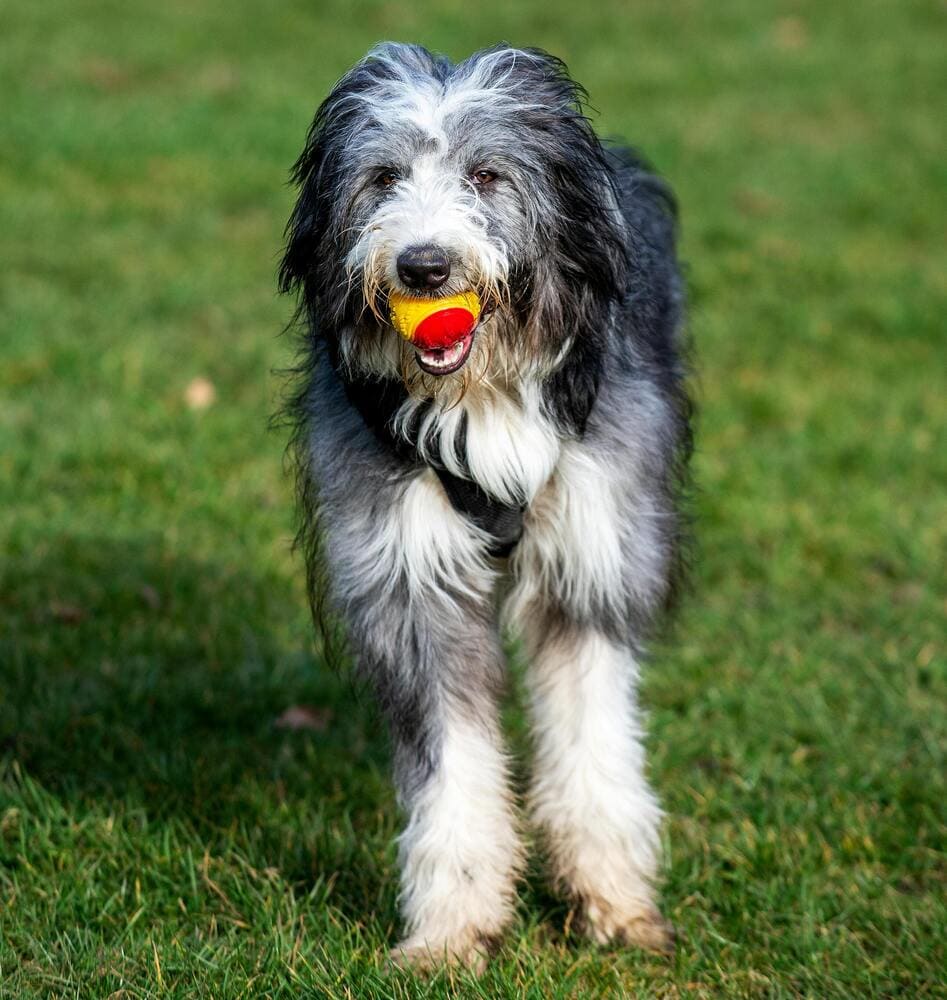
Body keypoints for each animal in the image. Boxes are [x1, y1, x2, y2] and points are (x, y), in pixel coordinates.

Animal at [278, 41, 692, 968]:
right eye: (383, 177)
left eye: (487, 174)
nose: (423, 267)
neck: (481, 397)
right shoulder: (408, 577)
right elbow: (452, 759)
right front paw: (451, 926)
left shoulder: (592, 553)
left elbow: (593, 741)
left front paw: (612, 904)